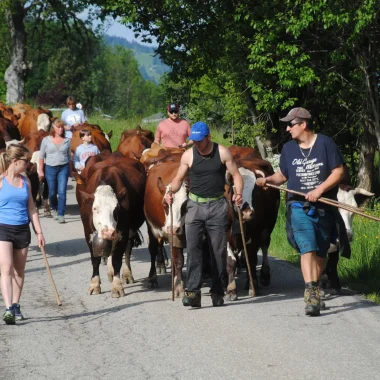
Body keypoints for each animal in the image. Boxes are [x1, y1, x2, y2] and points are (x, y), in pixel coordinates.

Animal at [75, 154, 145, 296]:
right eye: (95, 208)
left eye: (116, 209)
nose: (108, 232)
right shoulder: (88, 233)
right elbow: (95, 259)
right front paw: (94, 284)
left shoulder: (122, 232)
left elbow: (118, 258)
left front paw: (117, 286)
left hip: (130, 230)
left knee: (127, 250)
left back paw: (126, 274)